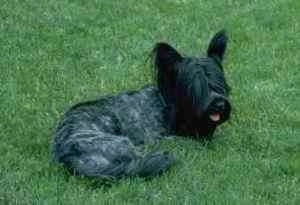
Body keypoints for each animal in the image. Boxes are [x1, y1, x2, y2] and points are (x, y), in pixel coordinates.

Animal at [52, 30, 231, 179]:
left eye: (219, 83)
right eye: (195, 88)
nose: (220, 104)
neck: (168, 103)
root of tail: (67, 154)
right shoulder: (161, 138)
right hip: (126, 144)